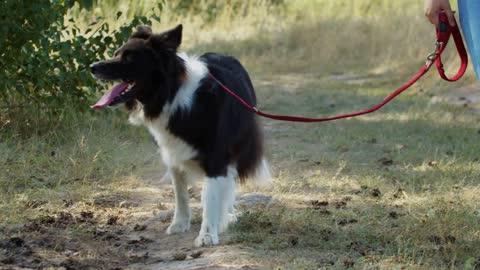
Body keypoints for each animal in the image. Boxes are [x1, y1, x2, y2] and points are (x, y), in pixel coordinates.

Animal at [90, 24, 270, 246]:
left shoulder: (217, 156)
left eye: (129, 58)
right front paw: (180, 223)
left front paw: (207, 235)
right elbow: (181, 194)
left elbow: (211, 196)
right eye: (116, 53)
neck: (171, 94)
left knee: (229, 182)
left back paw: (226, 215)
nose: (92, 67)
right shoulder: (173, 153)